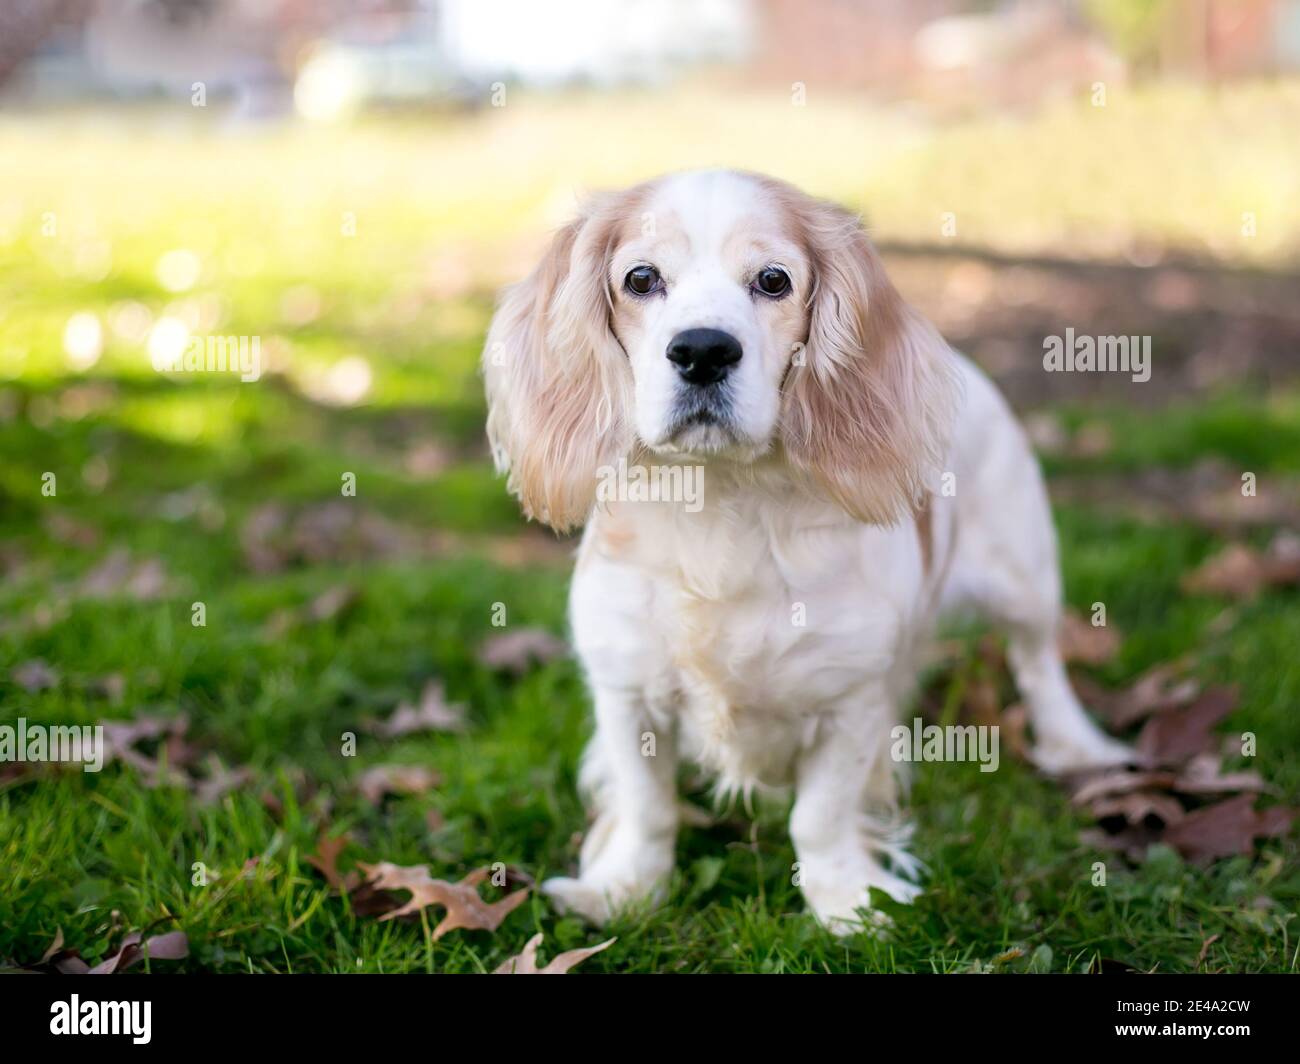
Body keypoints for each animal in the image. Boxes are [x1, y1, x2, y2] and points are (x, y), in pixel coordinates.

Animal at [483, 167, 1133, 926]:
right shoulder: (626, 691)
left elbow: (819, 817)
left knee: (1039, 664)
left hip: (1025, 580)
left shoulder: (850, 699)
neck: (721, 505)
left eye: (773, 280)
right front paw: (625, 890)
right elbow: (648, 808)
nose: (703, 350)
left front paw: (846, 902)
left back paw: (1076, 746)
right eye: (640, 278)